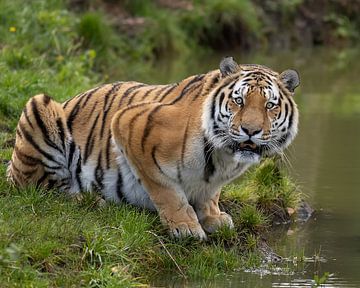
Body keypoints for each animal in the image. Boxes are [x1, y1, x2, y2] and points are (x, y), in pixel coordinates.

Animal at [7, 57, 300, 240]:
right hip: (38, 106)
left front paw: (213, 217)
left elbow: (210, 193)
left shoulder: (214, 180)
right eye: (239, 101)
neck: (225, 156)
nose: (251, 130)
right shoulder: (129, 125)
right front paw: (185, 227)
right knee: (42, 188)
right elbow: (167, 190)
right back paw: (88, 199)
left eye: (269, 106)